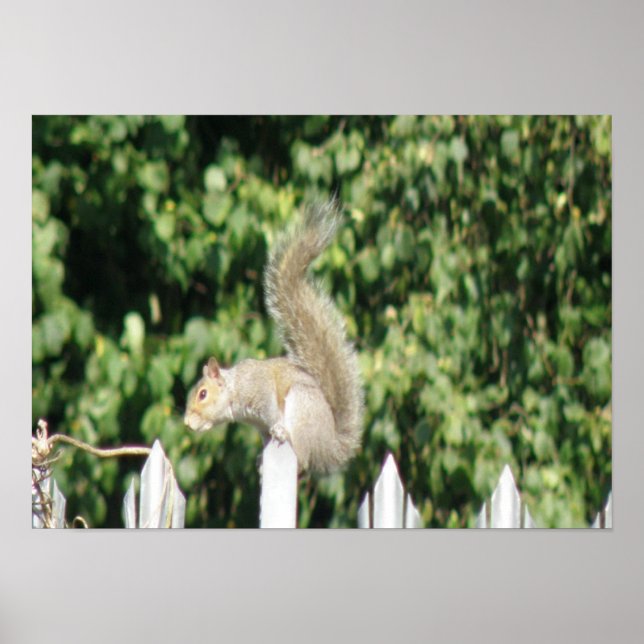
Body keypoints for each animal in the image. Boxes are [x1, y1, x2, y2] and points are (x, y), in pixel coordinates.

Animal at [183, 200, 364, 474]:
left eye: (203, 394)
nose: (187, 422)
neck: (235, 390)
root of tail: (330, 447)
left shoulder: (261, 394)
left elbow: (271, 414)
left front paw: (277, 430)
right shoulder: (257, 424)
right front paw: (261, 457)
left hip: (302, 407)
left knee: (303, 458)